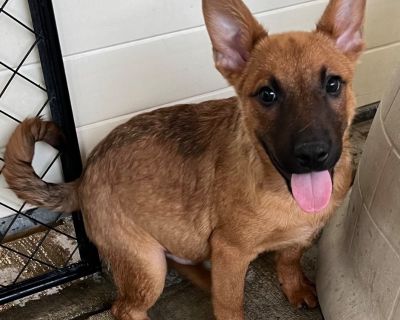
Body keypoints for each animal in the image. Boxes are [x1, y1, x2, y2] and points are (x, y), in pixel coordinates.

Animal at [3, 0, 366, 318]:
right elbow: (230, 306)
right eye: (268, 95)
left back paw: (206, 279)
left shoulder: (299, 235)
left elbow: (290, 259)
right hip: (147, 264)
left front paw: (295, 286)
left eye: (333, 84)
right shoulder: (231, 251)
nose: (313, 154)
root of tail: (81, 178)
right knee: (125, 308)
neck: (279, 188)